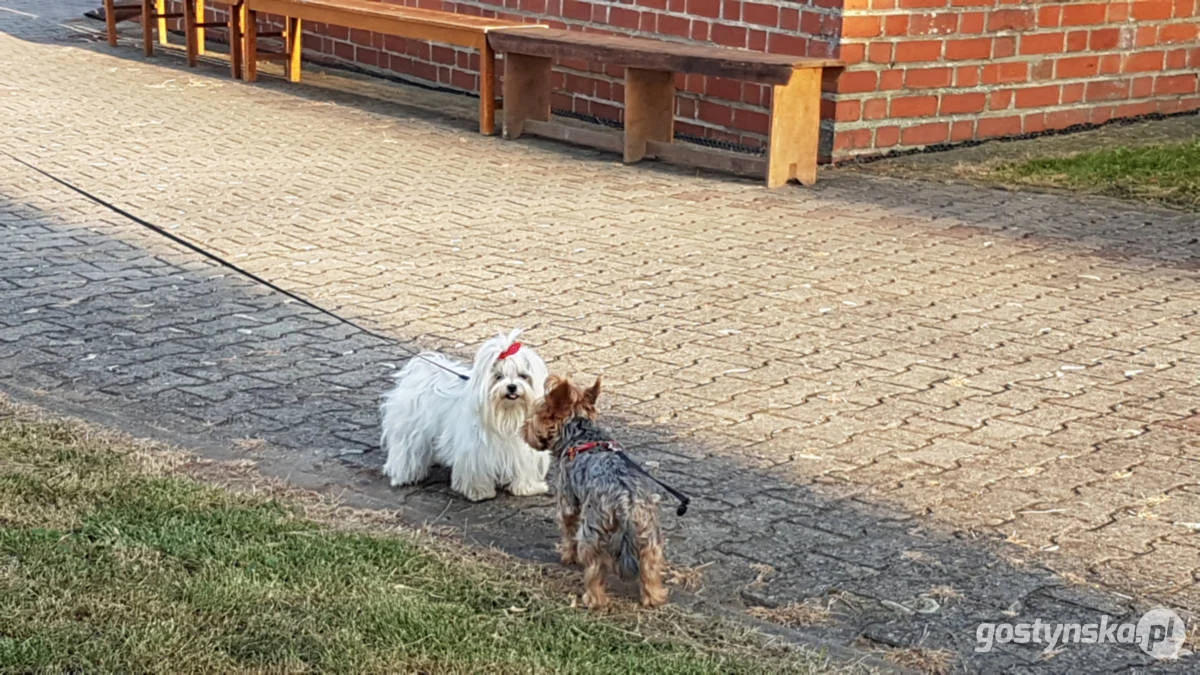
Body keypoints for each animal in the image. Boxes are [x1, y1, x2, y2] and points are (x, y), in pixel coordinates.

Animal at [379, 329, 552, 502]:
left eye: (523, 376)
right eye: (498, 376)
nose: (512, 387)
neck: (508, 414)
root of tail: (421, 372)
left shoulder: (523, 450)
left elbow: (525, 468)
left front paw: (528, 488)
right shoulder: (474, 450)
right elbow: (476, 470)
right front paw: (479, 491)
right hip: (410, 430)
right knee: (406, 450)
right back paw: (404, 476)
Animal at [523, 374, 667, 607]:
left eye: (537, 415)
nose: (523, 429)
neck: (581, 434)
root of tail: (625, 502)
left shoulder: (567, 496)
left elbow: (567, 528)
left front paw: (567, 556)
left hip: (592, 532)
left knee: (594, 568)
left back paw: (593, 599)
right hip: (650, 536)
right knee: (650, 567)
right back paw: (654, 597)